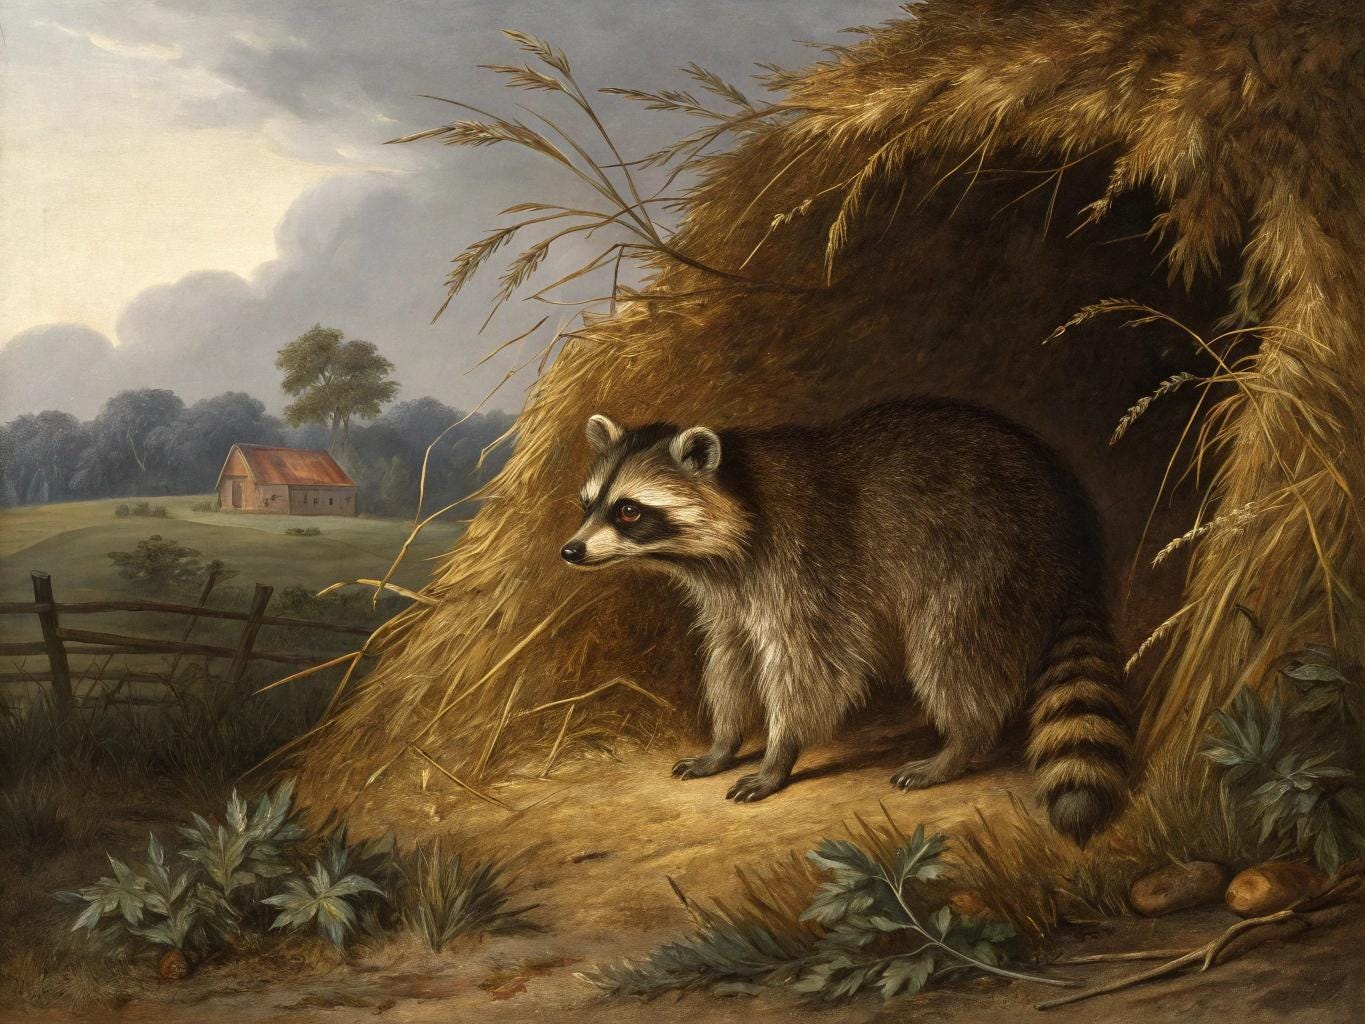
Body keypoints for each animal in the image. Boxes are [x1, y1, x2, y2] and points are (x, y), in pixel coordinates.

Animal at [560, 398, 1133, 844]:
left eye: (628, 511)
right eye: (588, 504)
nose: (570, 550)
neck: (737, 495)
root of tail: (1076, 538)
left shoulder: (804, 569)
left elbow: (811, 668)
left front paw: (777, 755)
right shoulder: (730, 599)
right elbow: (729, 658)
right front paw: (724, 743)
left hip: (990, 559)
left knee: (951, 649)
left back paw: (962, 741)